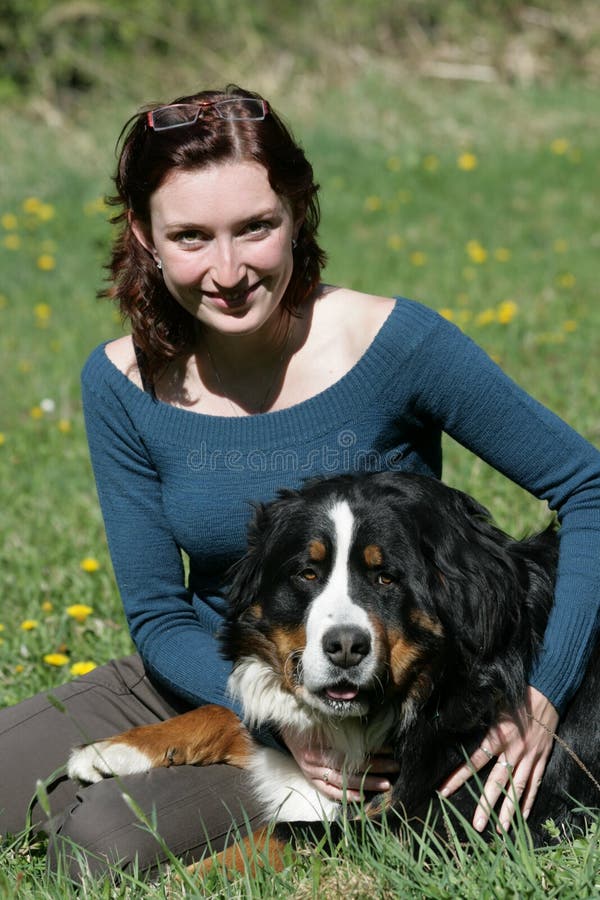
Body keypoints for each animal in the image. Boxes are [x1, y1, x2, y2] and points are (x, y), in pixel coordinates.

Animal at [68, 472, 596, 872]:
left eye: (386, 577)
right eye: (307, 573)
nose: (345, 647)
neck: (435, 688)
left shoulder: (447, 821)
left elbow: (286, 833)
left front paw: (180, 878)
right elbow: (229, 713)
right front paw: (113, 749)